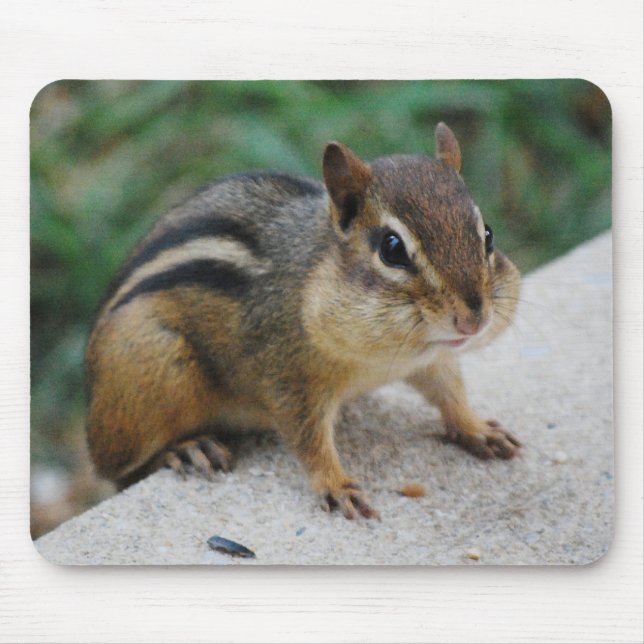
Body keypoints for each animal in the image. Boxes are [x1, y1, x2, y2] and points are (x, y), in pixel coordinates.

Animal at [86, 122, 521, 519]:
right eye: (392, 248)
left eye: (487, 234)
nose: (474, 318)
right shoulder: (288, 376)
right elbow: (308, 440)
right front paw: (337, 485)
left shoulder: (431, 359)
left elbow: (449, 391)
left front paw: (476, 428)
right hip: (152, 367)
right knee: (121, 467)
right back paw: (188, 448)